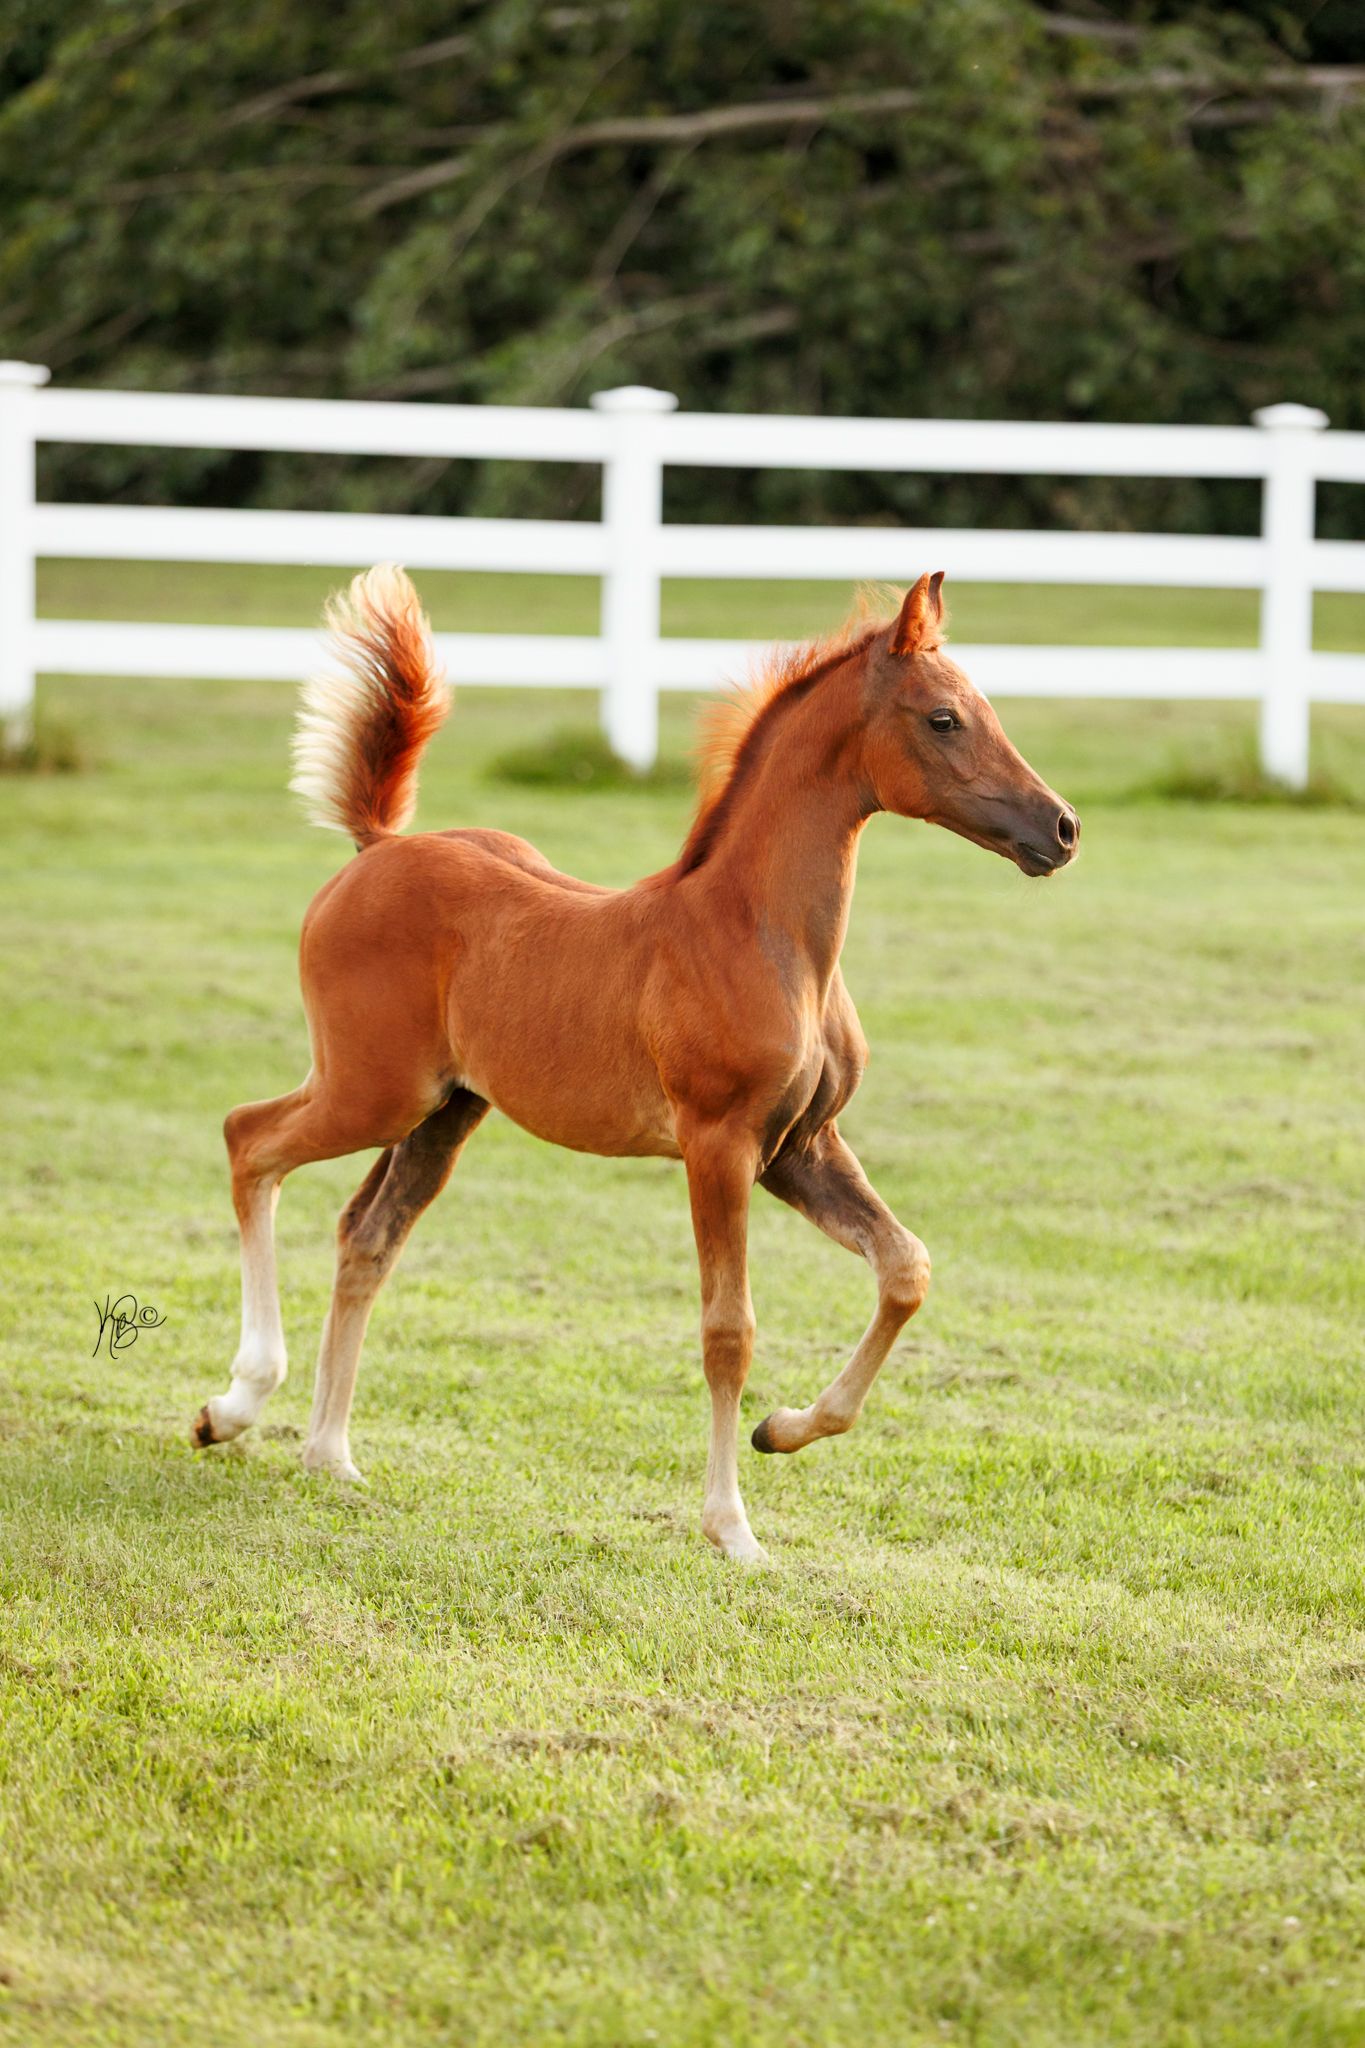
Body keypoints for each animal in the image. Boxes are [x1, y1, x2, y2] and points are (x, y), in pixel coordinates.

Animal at [192, 566, 1078, 1561]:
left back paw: (328, 1455)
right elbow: (728, 1329)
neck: (761, 935)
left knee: (366, 1235)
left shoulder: (802, 1147)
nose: (1061, 828)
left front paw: (785, 1429)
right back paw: (233, 1406)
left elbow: (905, 1267)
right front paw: (731, 1528)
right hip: (372, 1090)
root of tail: (378, 847)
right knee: (249, 1140)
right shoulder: (718, 1145)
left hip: (446, 1112)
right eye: (943, 719)